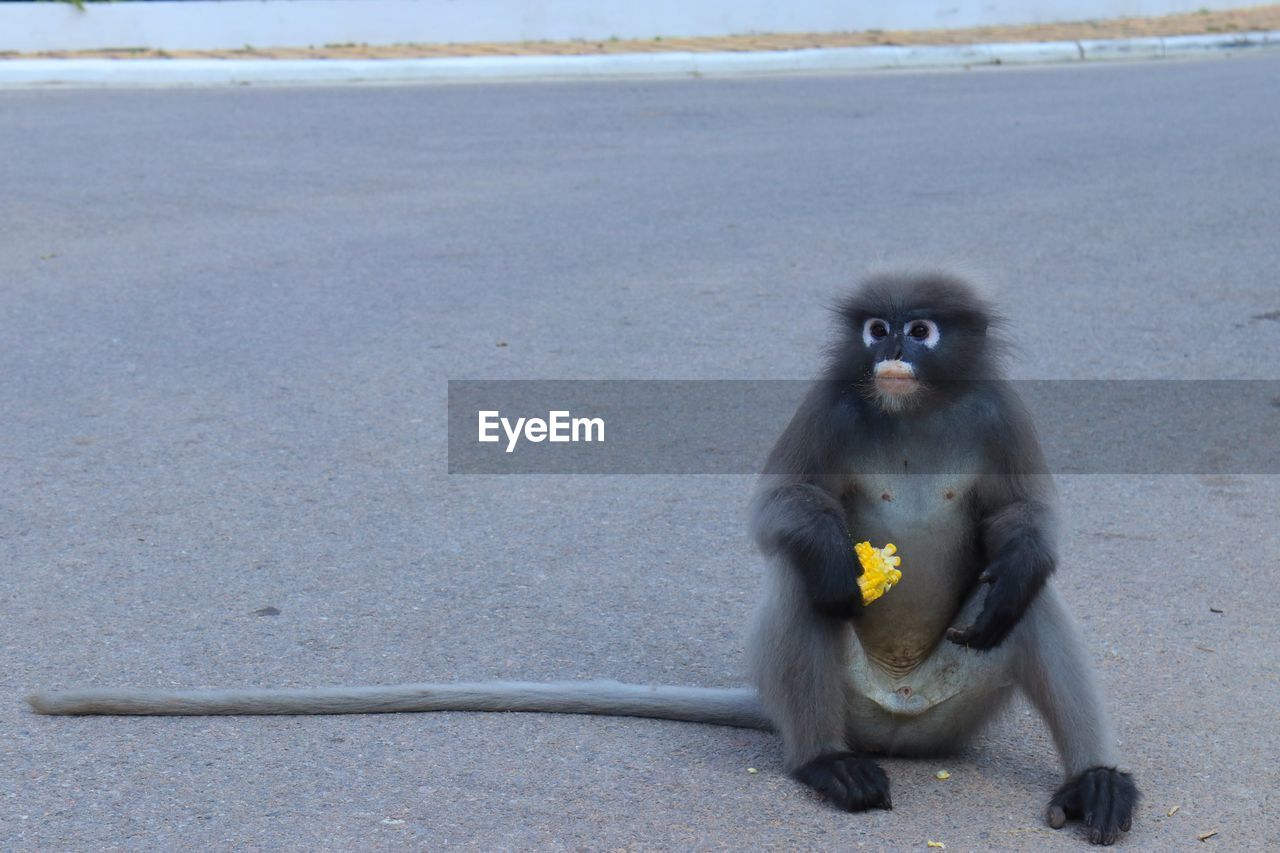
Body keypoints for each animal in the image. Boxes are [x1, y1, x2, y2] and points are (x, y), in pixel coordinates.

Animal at [24, 272, 1136, 845]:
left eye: (921, 327)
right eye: (874, 327)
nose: (891, 351)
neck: (909, 412)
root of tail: (895, 727)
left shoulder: (996, 410)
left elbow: (1031, 526)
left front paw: (1017, 557)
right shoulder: (829, 401)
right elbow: (779, 517)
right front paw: (828, 557)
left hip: (958, 699)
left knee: (1028, 602)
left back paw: (1093, 778)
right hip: (854, 699)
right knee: (801, 588)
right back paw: (826, 760)